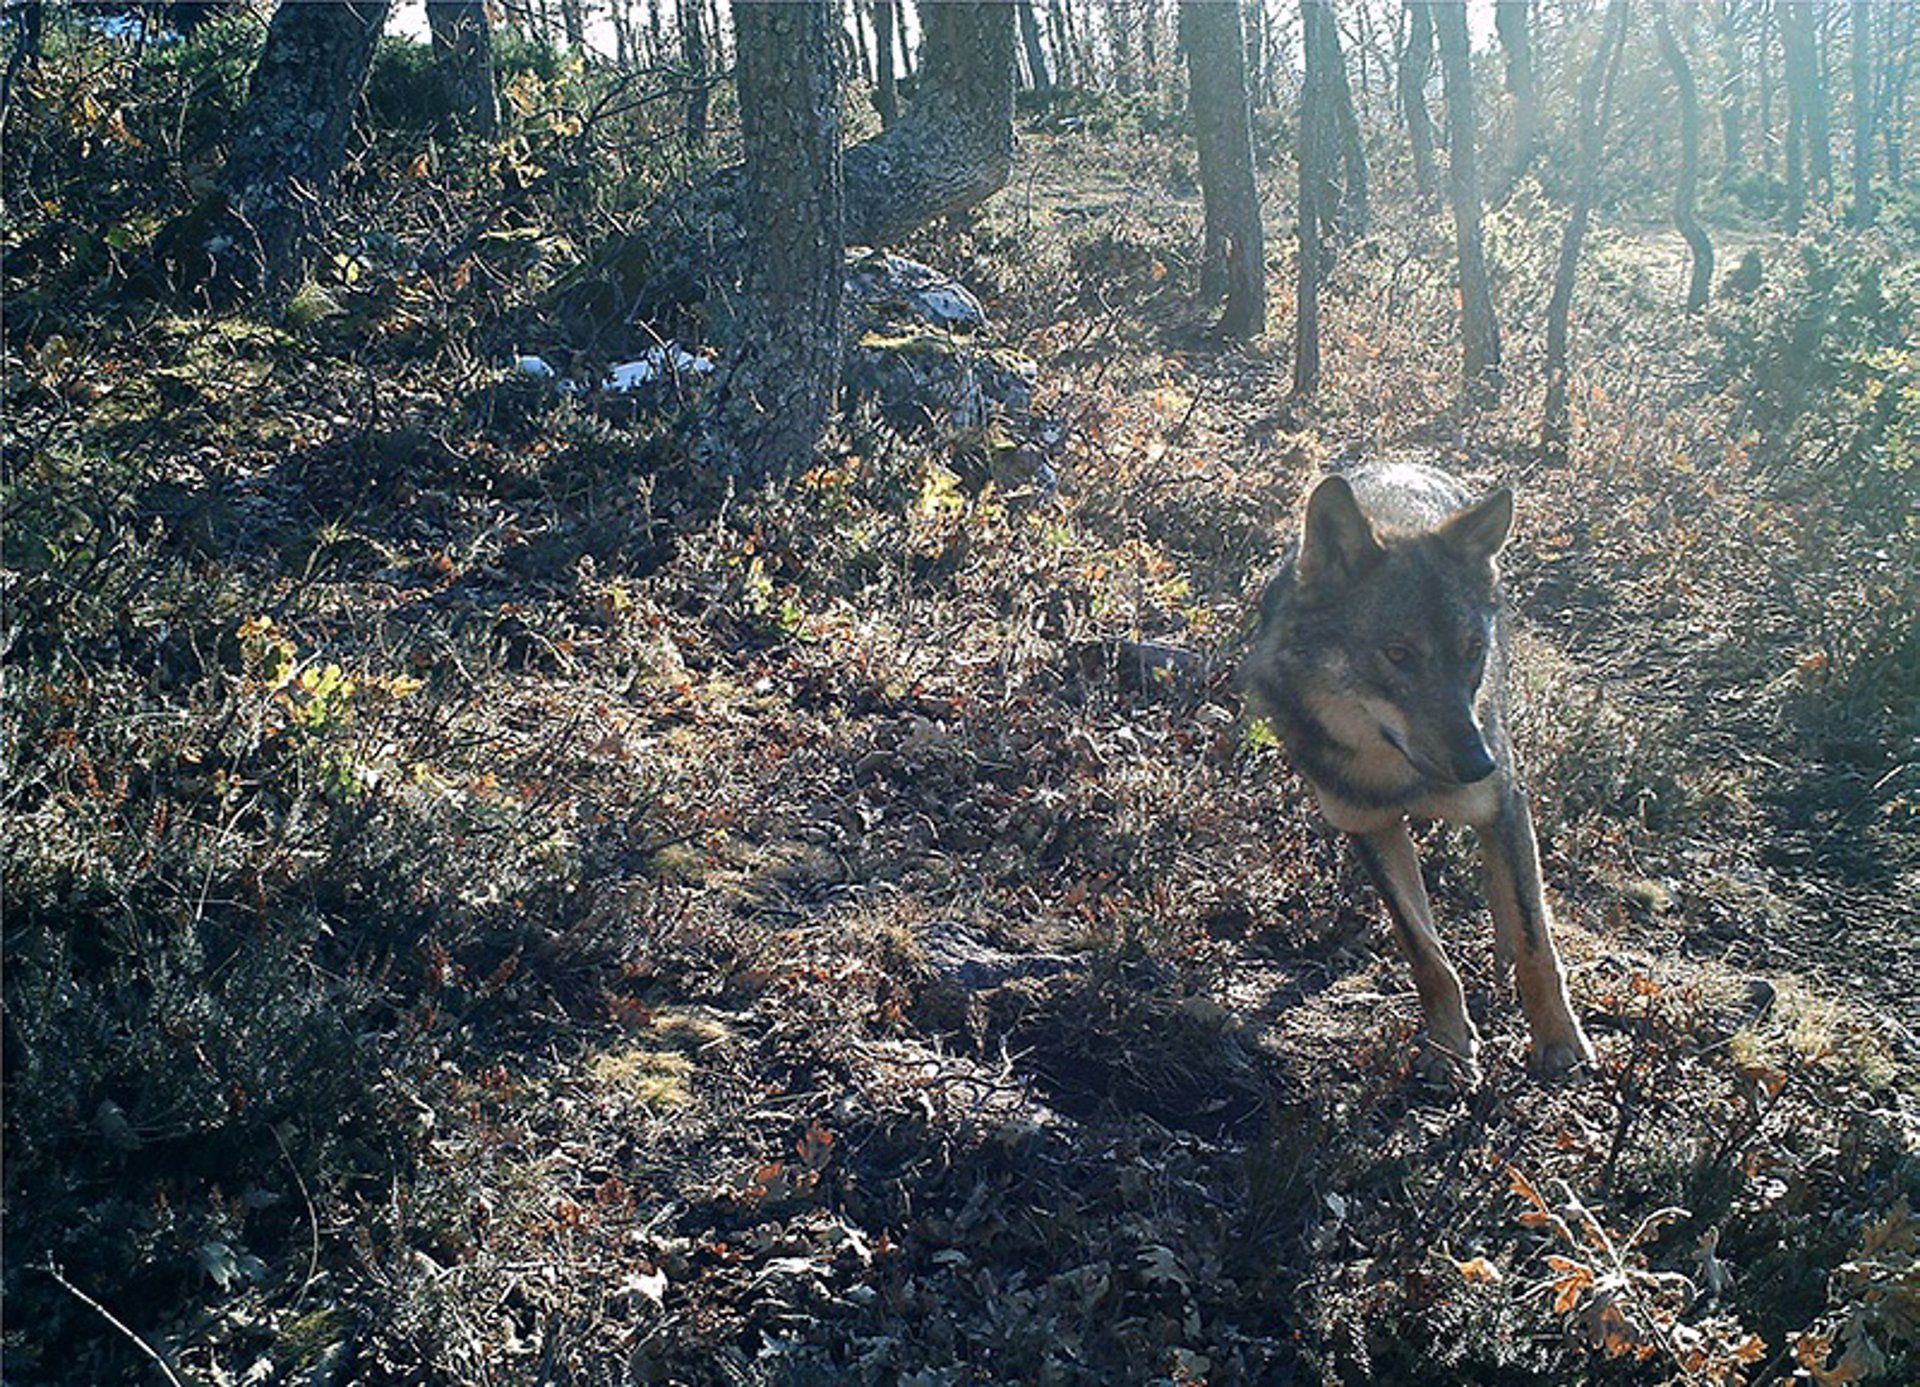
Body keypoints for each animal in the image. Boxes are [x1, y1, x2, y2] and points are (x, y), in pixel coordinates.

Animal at [1244, 459, 1589, 1083]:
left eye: (1472, 650)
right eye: (1398, 654)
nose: (1479, 764)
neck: (1397, 774)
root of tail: (1406, 460)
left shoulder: (1502, 800)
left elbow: (1535, 938)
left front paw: (1558, 1041)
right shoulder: (1368, 827)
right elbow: (1426, 952)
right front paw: (1450, 1047)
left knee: (1514, 893)